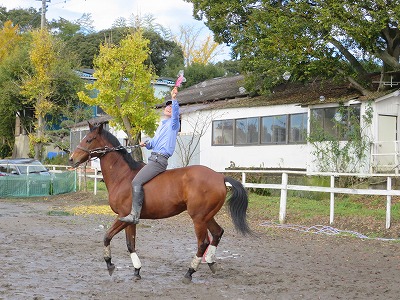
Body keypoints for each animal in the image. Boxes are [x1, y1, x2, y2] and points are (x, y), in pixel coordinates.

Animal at [69, 120, 250, 282]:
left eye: (89, 139)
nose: (71, 159)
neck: (122, 176)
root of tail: (219, 177)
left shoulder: (123, 216)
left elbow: (107, 237)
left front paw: (110, 264)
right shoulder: (130, 220)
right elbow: (130, 244)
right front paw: (136, 271)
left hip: (198, 218)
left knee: (203, 242)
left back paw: (190, 272)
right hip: (206, 216)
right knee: (217, 233)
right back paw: (211, 262)